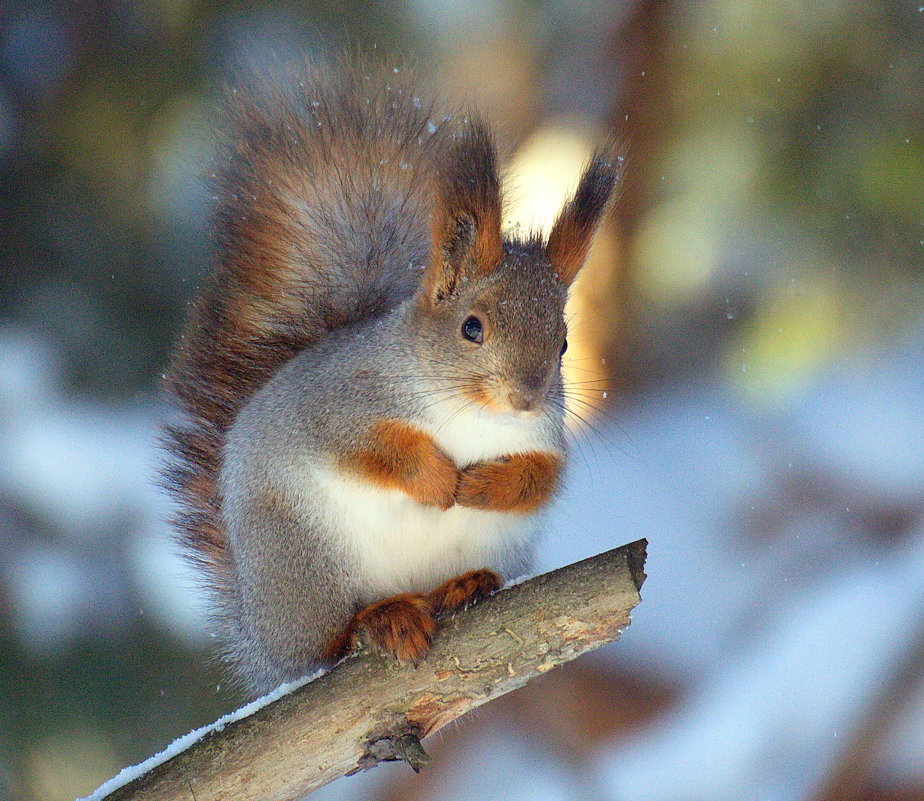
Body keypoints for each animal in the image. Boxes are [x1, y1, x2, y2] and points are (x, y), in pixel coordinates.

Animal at [162, 59, 616, 692]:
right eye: (471, 327)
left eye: (565, 342)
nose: (525, 399)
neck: (474, 415)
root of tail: (263, 640)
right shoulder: (338, 404)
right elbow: (371, 448)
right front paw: (439, 480)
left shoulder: (545, 440)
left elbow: (539, 480)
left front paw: (482, 486)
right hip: (306, 565)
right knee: (328, 643)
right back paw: (381, 618)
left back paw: (463, 585)